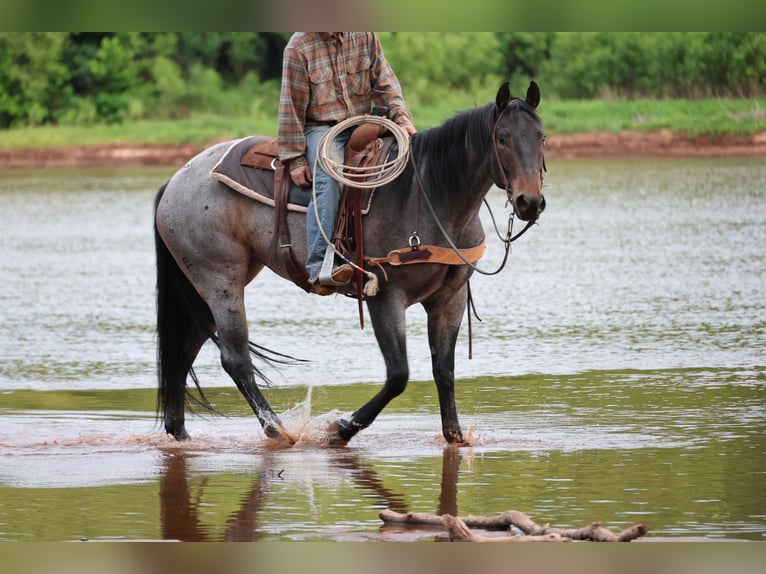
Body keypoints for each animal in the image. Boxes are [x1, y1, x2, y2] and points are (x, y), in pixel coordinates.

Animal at [153, 81, 546, 446]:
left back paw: (180, 432)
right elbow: (398, 375)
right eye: (502, 138)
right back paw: (278, 430)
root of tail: (175, 179)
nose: (530, 202)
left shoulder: (449, 299)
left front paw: (455, 435)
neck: (430, 195)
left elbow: (444, 369)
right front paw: (340, 428)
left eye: (541, 137)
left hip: (207, 286)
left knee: (184, 351)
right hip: (221, 281)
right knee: (234, 358)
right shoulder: (385, 296)